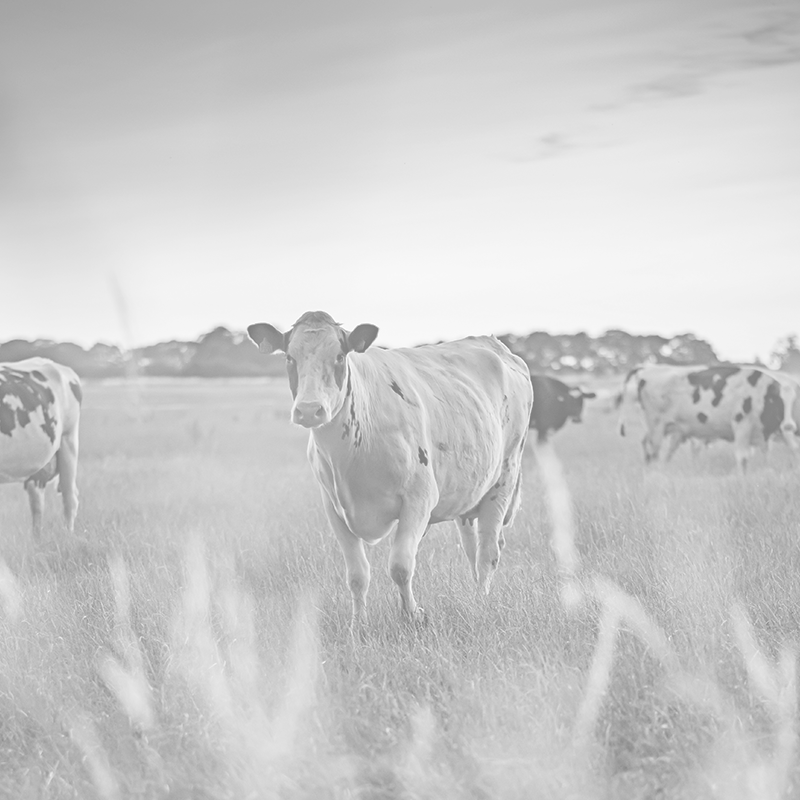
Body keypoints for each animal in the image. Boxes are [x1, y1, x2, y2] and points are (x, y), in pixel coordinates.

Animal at [247, 311, 533, 633]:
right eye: (289, 358)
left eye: (339, 356)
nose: (309, 409)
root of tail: (495, 345)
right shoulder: (333, 507)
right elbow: (357, 574)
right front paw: (358, 624)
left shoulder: (419, 497)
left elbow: (400, 566)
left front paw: (412, 615)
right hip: (470, 492)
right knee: (472, 548)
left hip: (505, 477)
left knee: (489, 551)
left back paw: (480, 602)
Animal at [616, 363, 798, 472]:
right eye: (779, 400)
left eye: (795, 400)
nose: (789, 425)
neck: (761, 395)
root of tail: (646, 368)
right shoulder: (742, 425)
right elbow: (743, 458)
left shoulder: (764, 435)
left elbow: (766, 456)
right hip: (656, 427)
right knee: (653, 453)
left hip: (669, 430)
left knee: (658, 453)